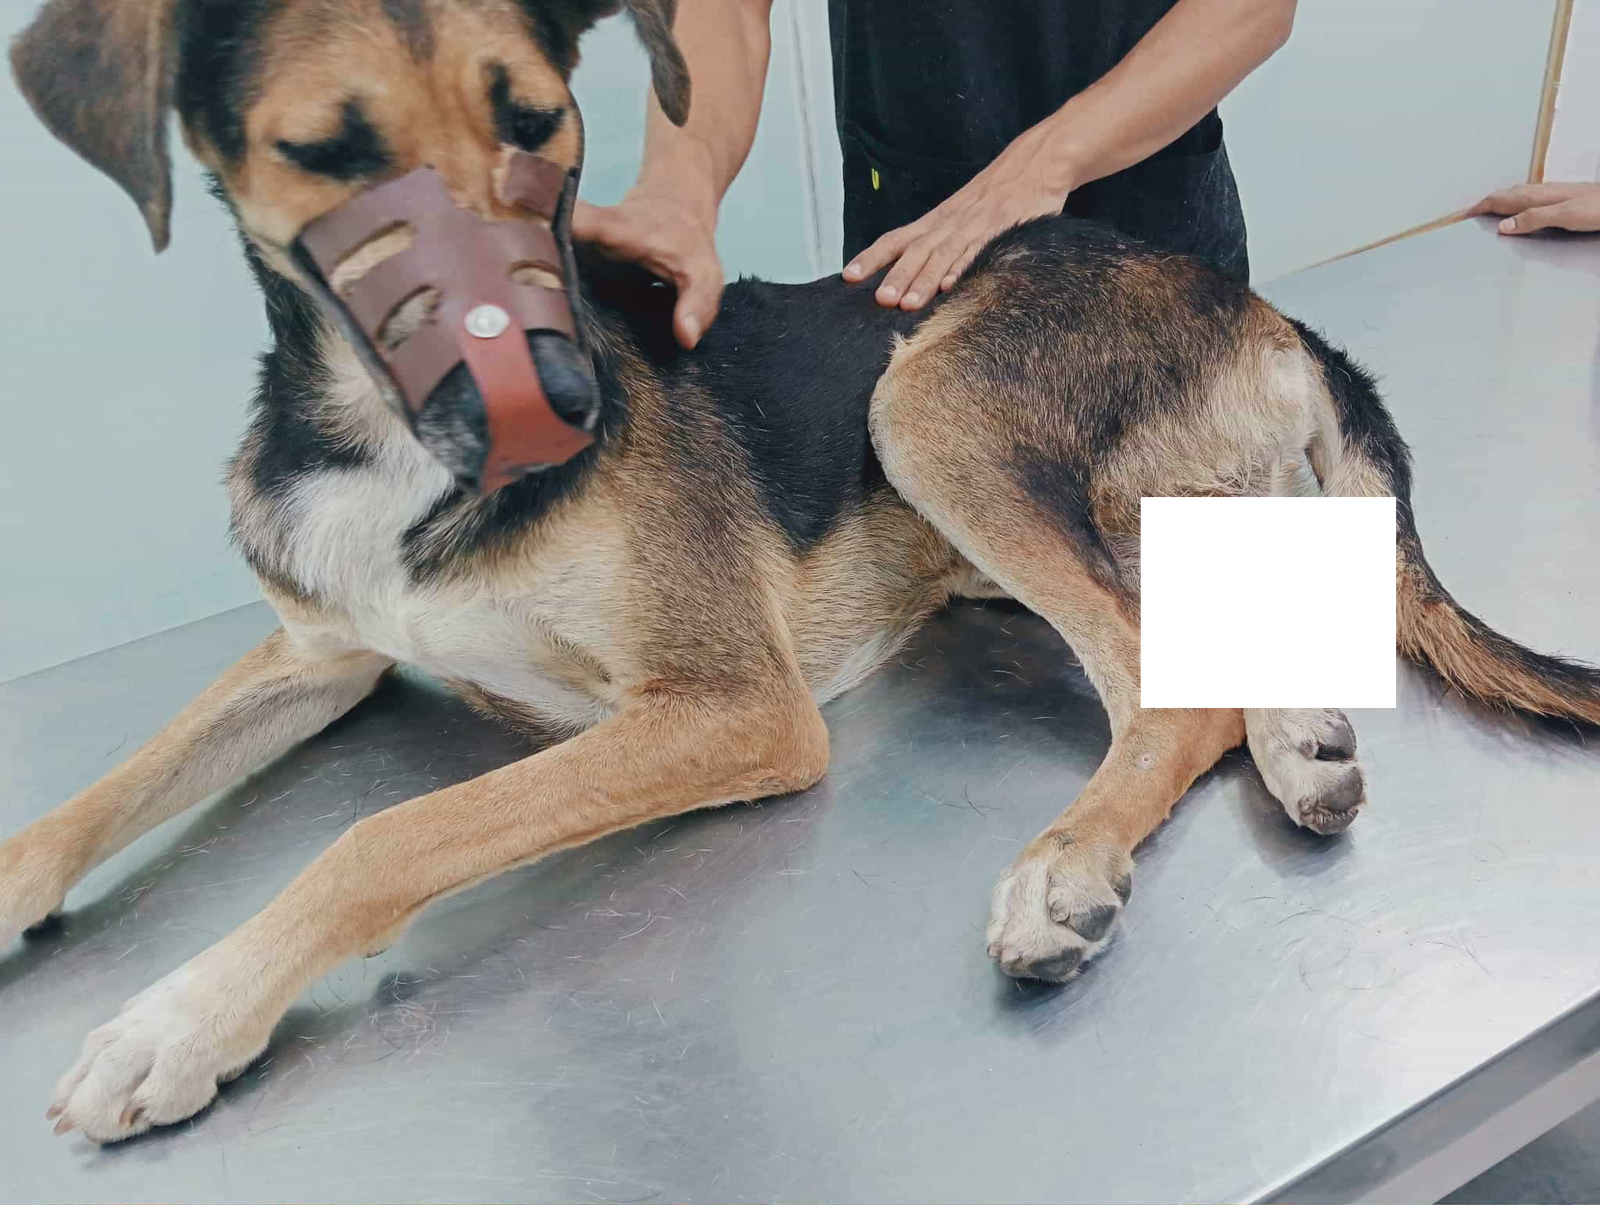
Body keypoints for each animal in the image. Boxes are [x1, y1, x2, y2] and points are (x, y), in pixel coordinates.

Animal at [6, 0, 1599, 1145]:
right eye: (326, 155)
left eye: (541, 130)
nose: (562, 397)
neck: (387, 449)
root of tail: (1259, 307)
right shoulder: (314, 653)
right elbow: (88, 803)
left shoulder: (731, 704)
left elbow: (387, 833)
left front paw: (176, 1023)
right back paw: (1300, 747)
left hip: (925, 405)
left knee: (1162, 688)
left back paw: (1068, 870)